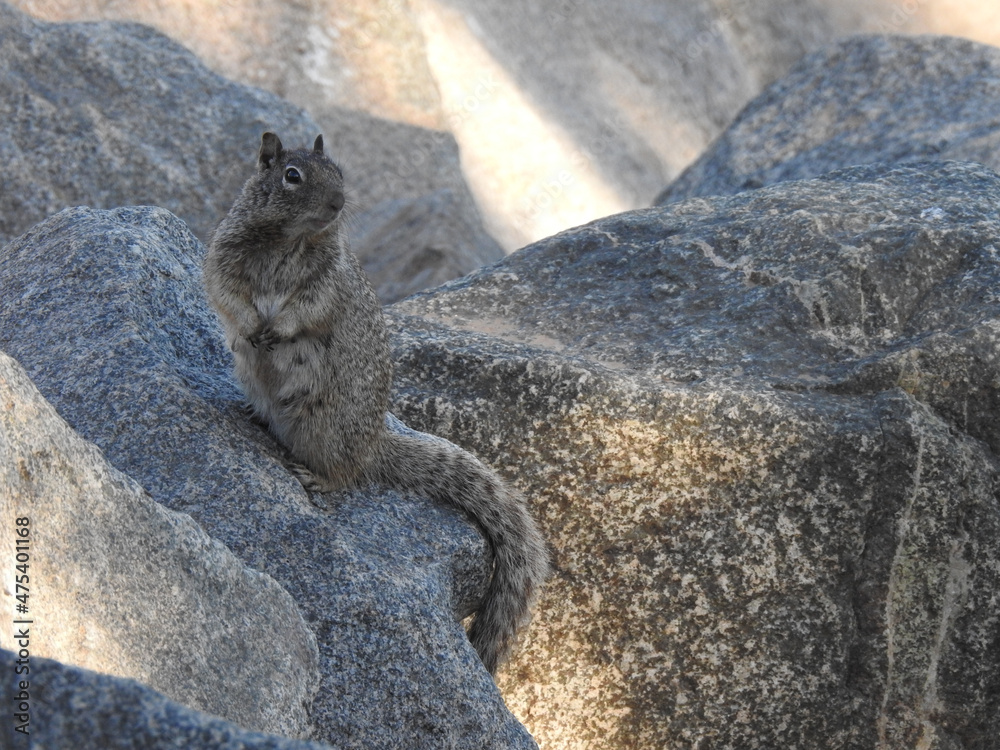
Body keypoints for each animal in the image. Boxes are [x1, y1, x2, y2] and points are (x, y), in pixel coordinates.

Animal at [202, 131, 548, 676]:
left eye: (341, 173)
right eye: (292, 175)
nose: (338, 204)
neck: (288, 237)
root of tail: (373, 444)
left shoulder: (327, 280)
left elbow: (307, 311)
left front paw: (276, 331)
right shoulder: (226, 253)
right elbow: (228, 293)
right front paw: (251, 329)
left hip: (321, 428)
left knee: (347, 475)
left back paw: (317, 476)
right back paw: (253, 412)